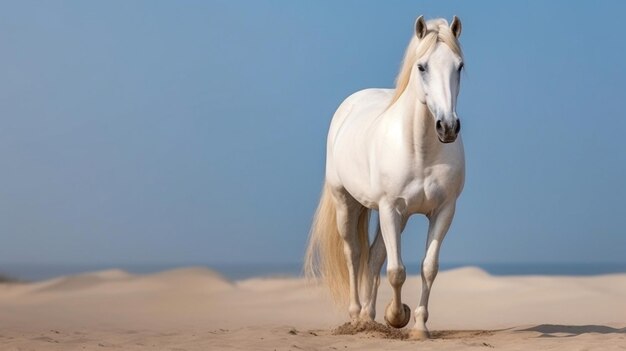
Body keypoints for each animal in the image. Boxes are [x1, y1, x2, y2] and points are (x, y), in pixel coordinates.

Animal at [304, 15, 460, 338]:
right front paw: (397, 316)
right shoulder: (390, 208)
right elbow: (397, 271)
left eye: (460, 66)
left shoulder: (444, 210)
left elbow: (428, 268)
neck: (420, 149)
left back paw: (368, 316)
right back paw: (355, 316)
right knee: (354, 254)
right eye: (422, 66)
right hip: (347, 203)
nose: (448, 127)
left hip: (397, 217)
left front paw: (419, 326)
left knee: (375, 255)